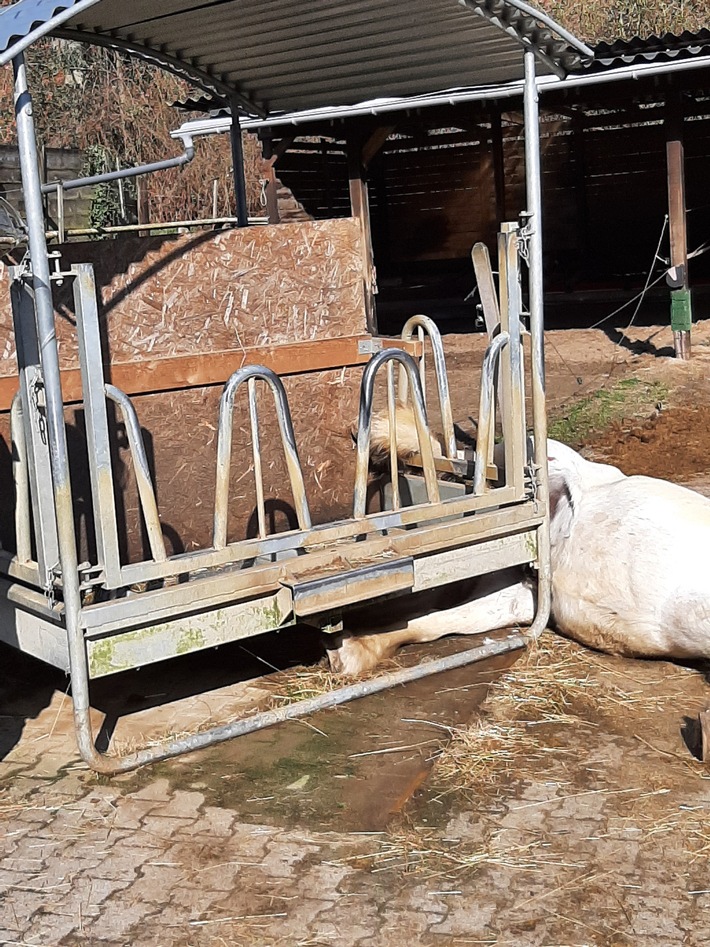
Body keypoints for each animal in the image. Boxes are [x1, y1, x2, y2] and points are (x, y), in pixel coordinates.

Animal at [330, 414, 710, 672]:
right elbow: (442, 620)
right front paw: (348, 653)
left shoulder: (533, 595)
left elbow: (451, 619)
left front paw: (347, 653)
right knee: (469, 463)